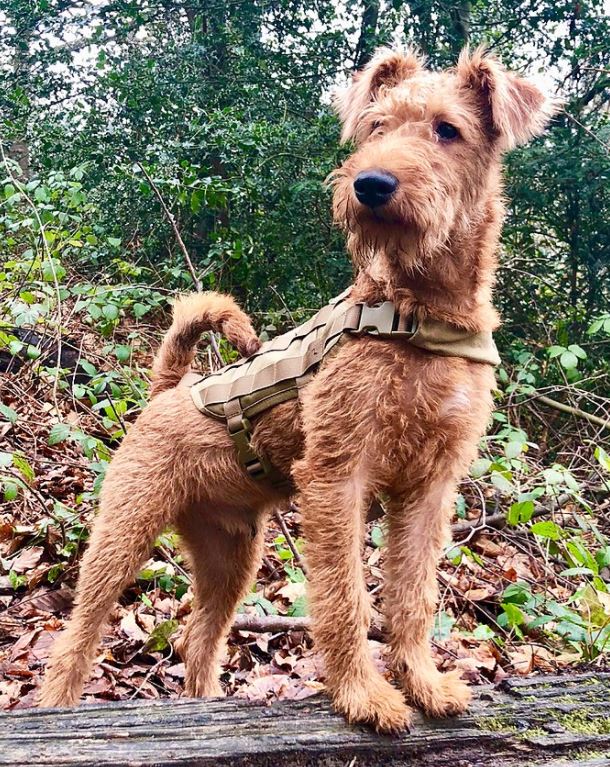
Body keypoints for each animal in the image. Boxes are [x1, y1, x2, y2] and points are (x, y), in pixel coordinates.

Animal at [36, 46, 552, 732]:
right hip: (123, 530)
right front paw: (363, 694)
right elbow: (344, 597)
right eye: (376, 126)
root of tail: (169, 390)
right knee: (78, 634)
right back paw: (55, 712)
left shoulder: (430, 486)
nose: (371, 184)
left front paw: (423, 683)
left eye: (448, 129)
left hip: (232, 556)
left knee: (200, 639)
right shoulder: (337, 474)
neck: (418, 314)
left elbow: (413, 595)